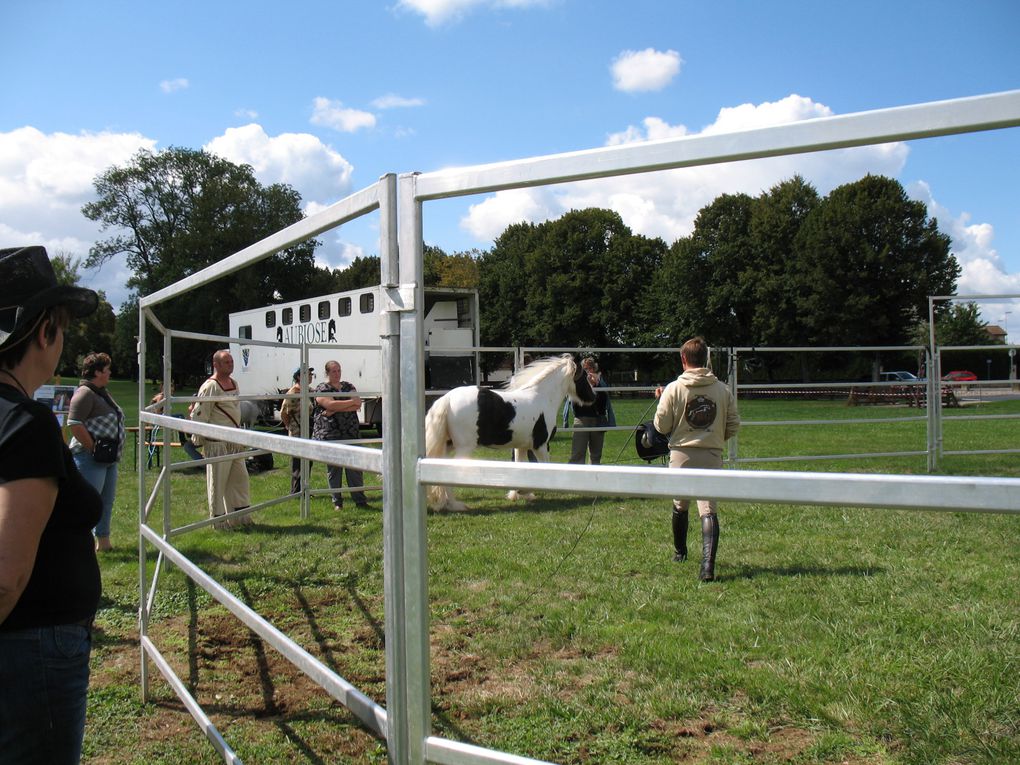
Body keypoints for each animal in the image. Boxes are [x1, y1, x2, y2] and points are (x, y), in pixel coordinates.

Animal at [424, 354, 595, 512]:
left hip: (448, 445)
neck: (543, 398)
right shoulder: (540, 445)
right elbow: (545, 466)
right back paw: (455, 505)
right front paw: (525, 491)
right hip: (464, 447)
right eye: (584, 376)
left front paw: (517, 494)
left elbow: (519, 467)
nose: (593, 397)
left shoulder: (521, 446)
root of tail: (447, 399)